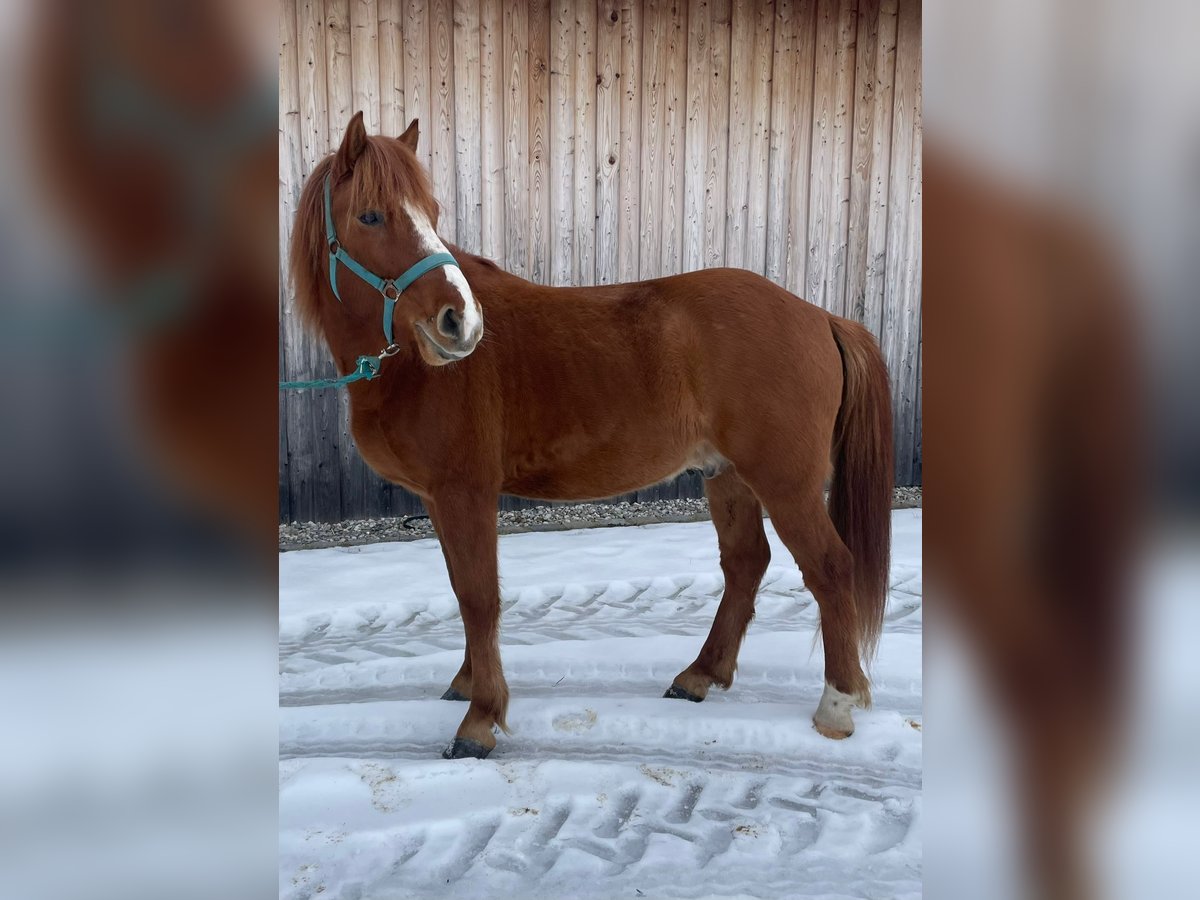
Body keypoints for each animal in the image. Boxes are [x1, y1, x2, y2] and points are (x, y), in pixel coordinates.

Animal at [289, 112, 895, 760]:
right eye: (370, 216)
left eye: (431, 211)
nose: (461, 323)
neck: (408, 367)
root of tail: (820, 316)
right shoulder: (439, 499)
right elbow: (460, 589)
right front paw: (467, 683)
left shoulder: (465, 492)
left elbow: (479, 597)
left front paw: (481, 719)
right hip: (727, 476)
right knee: (745, 563)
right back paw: (699, 676)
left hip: (785, 483)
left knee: (831, 568)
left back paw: (836, 705)